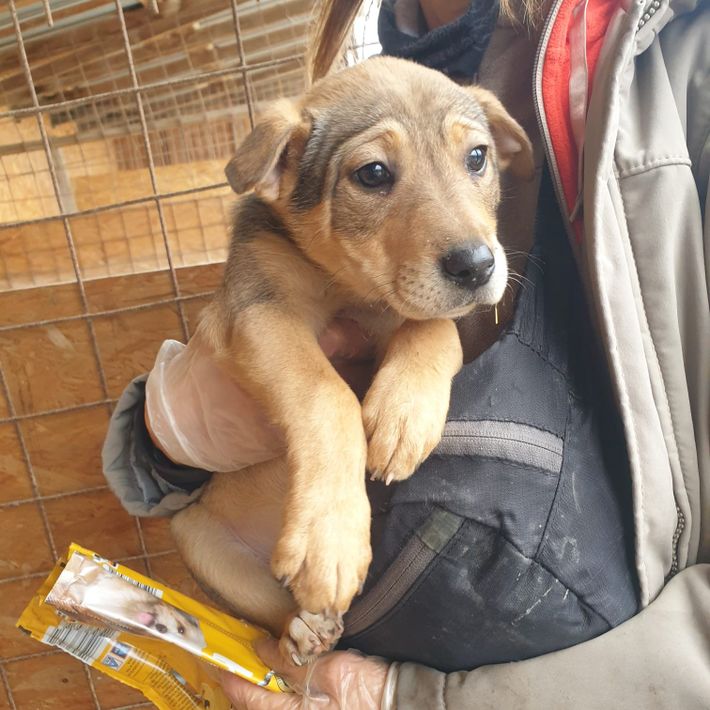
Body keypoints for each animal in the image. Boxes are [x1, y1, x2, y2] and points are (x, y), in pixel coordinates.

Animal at [171, 56, 533, 664]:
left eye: (477, 158)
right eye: (373, 174)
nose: (478, 266)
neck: (348, 288)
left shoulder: (418, 314)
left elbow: (434, 327)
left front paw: (404, 414)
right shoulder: (255, 312)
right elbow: (325, 392)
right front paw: (330, 539)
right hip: (198, 540)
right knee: (277, 610)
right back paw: (304, 626)